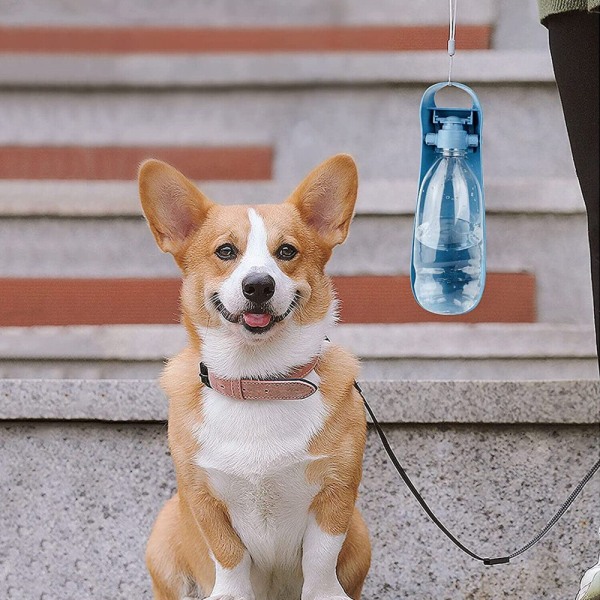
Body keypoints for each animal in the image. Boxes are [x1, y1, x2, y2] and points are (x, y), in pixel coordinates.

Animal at [141, 155, 372, 600]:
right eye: (225, 251)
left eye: (286, 251)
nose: (259, 285)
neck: (261, 380)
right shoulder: (203, 496)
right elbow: (229, 555)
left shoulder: (336, 494)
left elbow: (321, 560)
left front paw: (323, 592)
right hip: (164, 535)